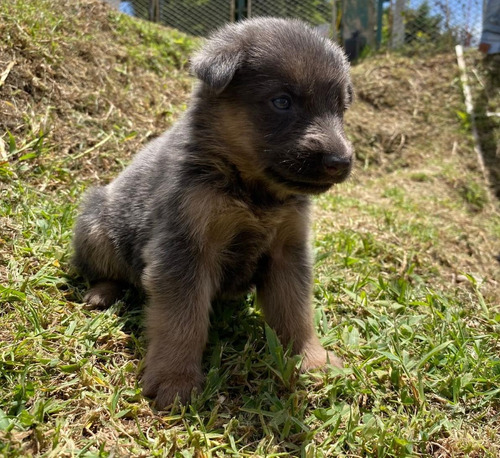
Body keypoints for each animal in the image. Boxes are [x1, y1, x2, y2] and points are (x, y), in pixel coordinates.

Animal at [73, 17, 356, 408]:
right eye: (282, 102)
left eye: (340, 109)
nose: (340, 161)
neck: (253, 193)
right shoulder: (185, 248)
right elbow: (182, 320)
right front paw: (174, 378)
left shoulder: (288, 251)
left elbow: (296, 313)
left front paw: (311, 359)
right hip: (96, 225)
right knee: (106, 269)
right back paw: (102, 293)